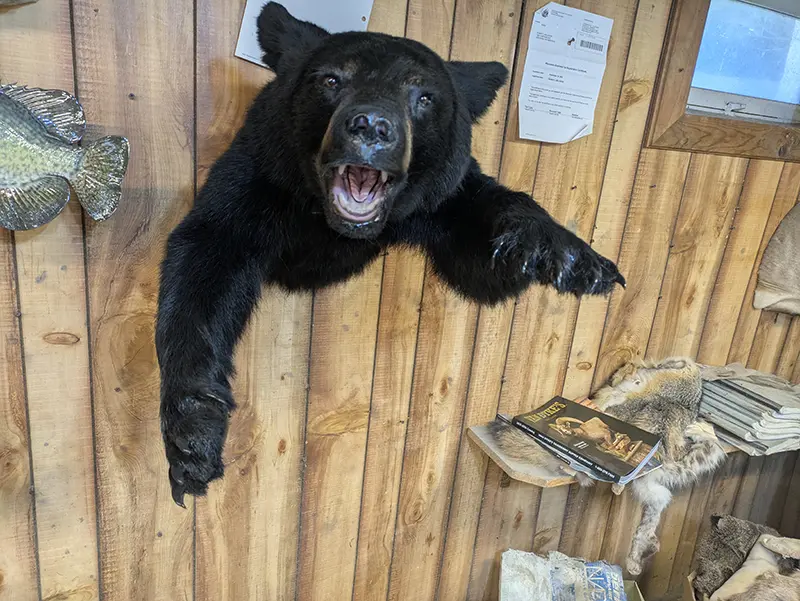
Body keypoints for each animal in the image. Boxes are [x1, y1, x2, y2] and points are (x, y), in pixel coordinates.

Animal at [156, 2, 625, 506]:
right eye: (331, 79)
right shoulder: (256, 178)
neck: (333, 226)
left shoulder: (438, 200)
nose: (371, 127)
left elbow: (480, 257)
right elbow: (201, 264)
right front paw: (191, 437)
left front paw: (567, 254)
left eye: (424, 97)